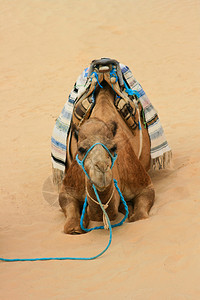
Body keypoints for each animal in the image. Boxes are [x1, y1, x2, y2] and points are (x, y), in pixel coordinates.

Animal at [58, 82, 155, 234]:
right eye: (81, 149)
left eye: (114, 148)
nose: (102, 168)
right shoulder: (68, 187)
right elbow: (71, 226)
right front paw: (81, 222)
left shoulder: (143, 184)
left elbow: (140, 217)